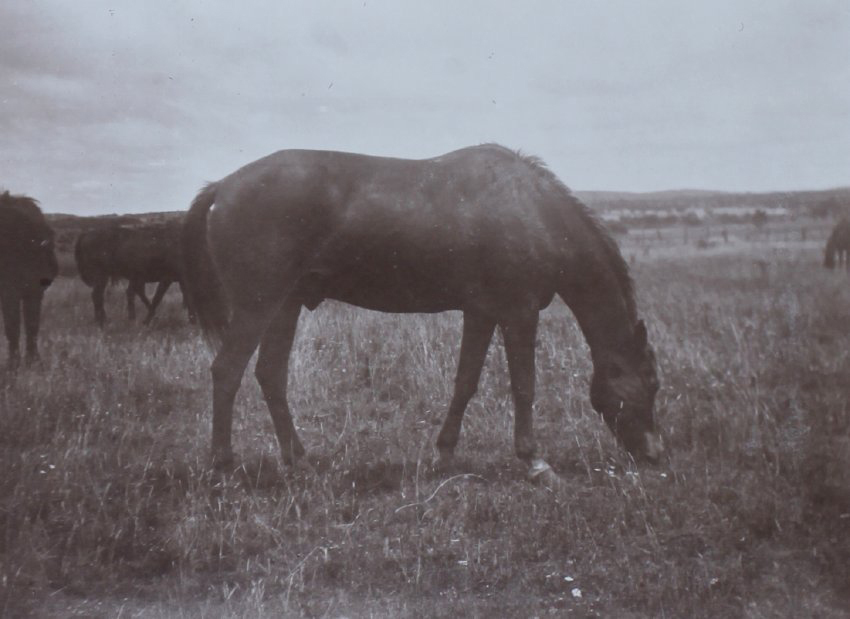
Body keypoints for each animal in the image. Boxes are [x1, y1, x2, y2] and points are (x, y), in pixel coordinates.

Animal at [0, 191, 59, 368]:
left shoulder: (35, 290)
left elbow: (32, 324)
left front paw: (34, 360)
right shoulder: (9, 289)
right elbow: (12, 324)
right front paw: (14, 362)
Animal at [181, 144, 663, 476]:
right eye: (653, 384)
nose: (655, 454)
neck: (533, 212)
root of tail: (223, 186)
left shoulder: (482, 312)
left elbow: (465, 382)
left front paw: (446, 454)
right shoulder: (519, 312)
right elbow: (524, 386)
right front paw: (533, 462)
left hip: (285, 305)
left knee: (270, 375)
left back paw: (297, 459)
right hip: (257, 306)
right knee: (227, 371)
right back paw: (223, 463)